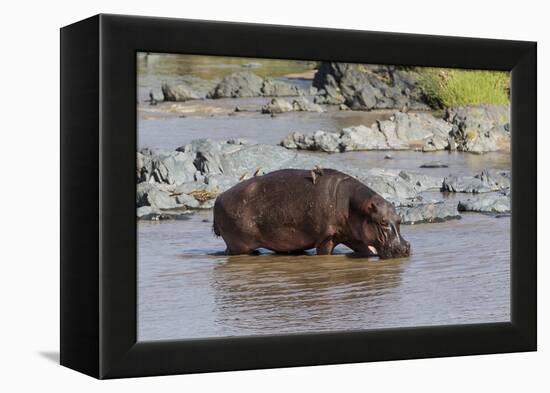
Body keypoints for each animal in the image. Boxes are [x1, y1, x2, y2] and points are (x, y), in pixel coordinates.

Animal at [213, 168, 412, 258]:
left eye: (399, 219)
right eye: (383, 222)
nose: (404, 247)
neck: (355, 207)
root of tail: (218, 198)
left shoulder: (354, 237)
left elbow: (367, 250)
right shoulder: (326, 238)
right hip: (239, 245)